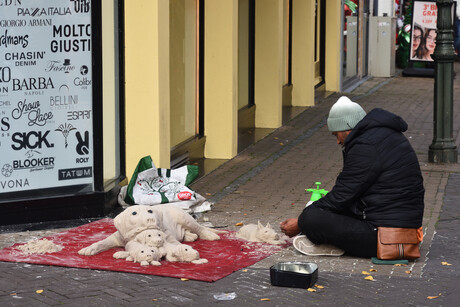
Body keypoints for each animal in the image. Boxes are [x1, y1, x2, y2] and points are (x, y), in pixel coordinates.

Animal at [79, 205, 226, 258]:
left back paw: (209, 234)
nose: (150, 219)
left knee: (198, 227)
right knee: (187, 232)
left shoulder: (167, 236)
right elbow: (102, 242)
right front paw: (88, 249)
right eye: (134, 213)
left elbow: (173, 245)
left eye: (150, 211)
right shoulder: (117, 237)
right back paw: (189, 236)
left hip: (184, 217)